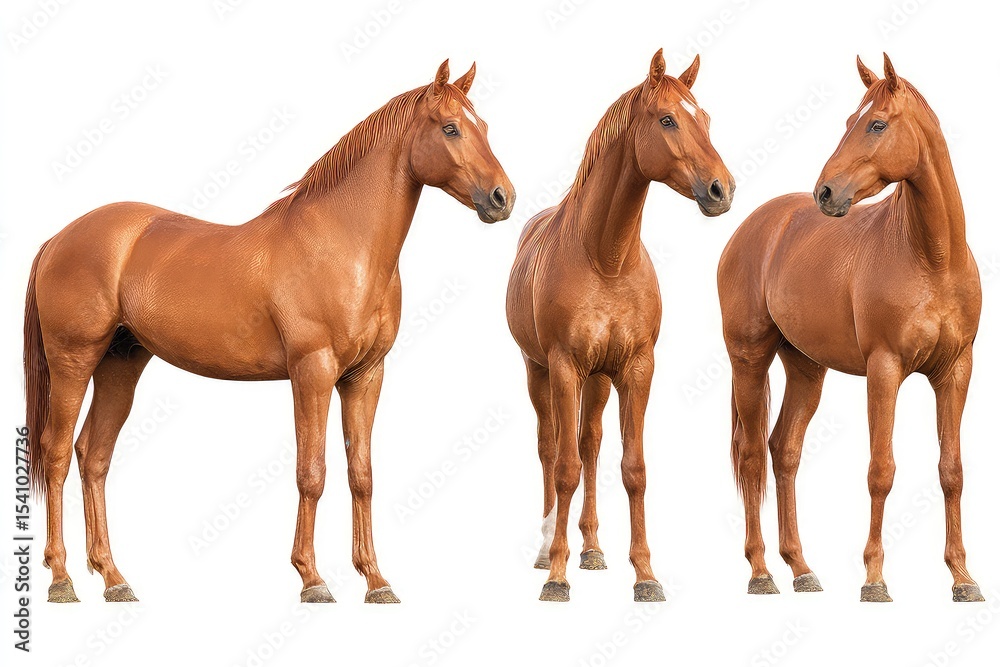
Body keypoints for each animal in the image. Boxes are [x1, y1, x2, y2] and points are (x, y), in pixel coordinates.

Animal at [24, 59, 514, 604]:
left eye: (483, 125)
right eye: (450, 128)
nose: (502, 198)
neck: (341, 243)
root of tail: (58, 238)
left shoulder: (365, 377)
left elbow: (362, 475)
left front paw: (376, 581)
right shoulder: (312, 372)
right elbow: (312, 473)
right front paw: (312, 578)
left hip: (120, 364)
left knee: (94, 456)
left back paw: (113, 578)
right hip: (73, 360)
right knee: (56, 453)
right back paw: (61, 578)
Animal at [506, 49, 734, 602]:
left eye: (706, 118)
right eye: (668, 119)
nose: (721, 189)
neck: (605, 258)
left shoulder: (635, 368)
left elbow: (632, 469)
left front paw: (646, 575)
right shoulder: (564, 366)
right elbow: (564, 467)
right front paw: (557, 576)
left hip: (599, 380)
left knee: (589, 445)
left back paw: (591, 549)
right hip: (538, 371)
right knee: (551, 447)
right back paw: (547, 547)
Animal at [718, 54, 983, 603]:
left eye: (876, 124)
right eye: (848, 122)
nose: (826, 192)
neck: (933, 259)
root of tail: (753, 227)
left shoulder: (956, 371)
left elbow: (951, 471)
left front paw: (963, 577)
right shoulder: (885, 369)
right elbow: (881, 470)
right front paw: (875, 578)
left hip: (806, 370)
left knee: (784, 450)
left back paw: (801, 568)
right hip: (749, 360)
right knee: (752, 457)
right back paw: (761, 572)